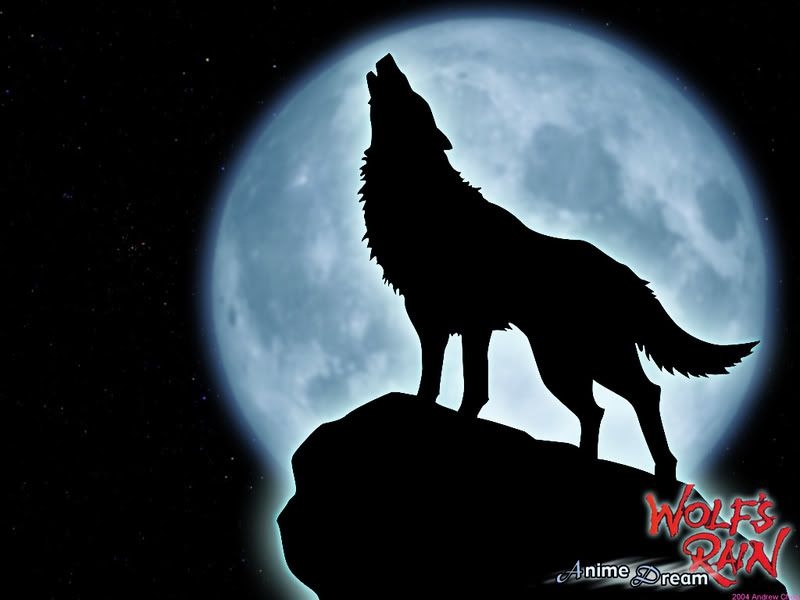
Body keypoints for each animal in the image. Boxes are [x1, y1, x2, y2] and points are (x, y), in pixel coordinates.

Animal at [359, 54, 757, 482]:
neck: (422, 193)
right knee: (597, 410)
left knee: (644, 395)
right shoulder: (432, 318)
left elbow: (471, 387)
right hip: (562, 364)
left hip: (585, 359)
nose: (388, 59)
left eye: (413, 97)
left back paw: (662, 472)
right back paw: (586, 461)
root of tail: (628, 274)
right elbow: (435, 382)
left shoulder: (470, 323)